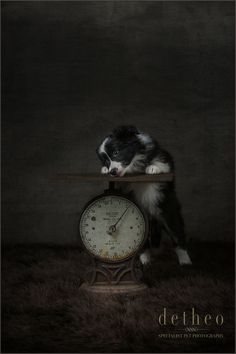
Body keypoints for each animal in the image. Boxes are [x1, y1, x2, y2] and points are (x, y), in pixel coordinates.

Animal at [96, 125, 192, 266]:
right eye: (106, 161)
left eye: (116, 152)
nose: (112, 171)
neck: (134, 165)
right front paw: (104, 170)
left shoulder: (166, 157)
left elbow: (163, 163)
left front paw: (153, 168)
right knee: (144, 241)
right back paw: (145, 258)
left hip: (167, 209)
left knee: (176, 232)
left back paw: (185, 261)